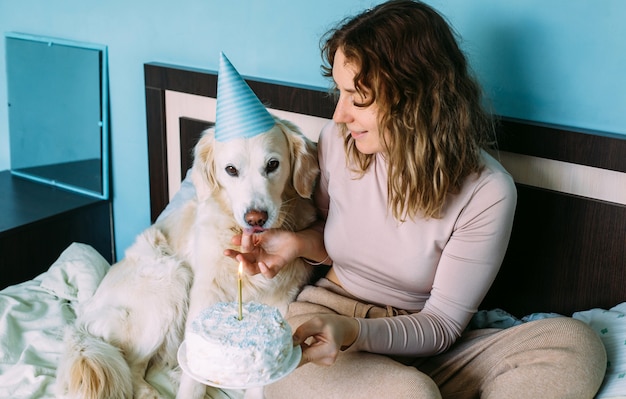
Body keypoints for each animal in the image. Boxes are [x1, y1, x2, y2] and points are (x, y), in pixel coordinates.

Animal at [56, 117, 320, 399]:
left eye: (272, 164)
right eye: (231, 170)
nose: (256, 219)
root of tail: (82, 317)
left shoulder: (282, 300)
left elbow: (261, 386)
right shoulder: (205, 293)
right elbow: (192, 382)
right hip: (169, 281)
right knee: (133, 366)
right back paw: (152, 391)